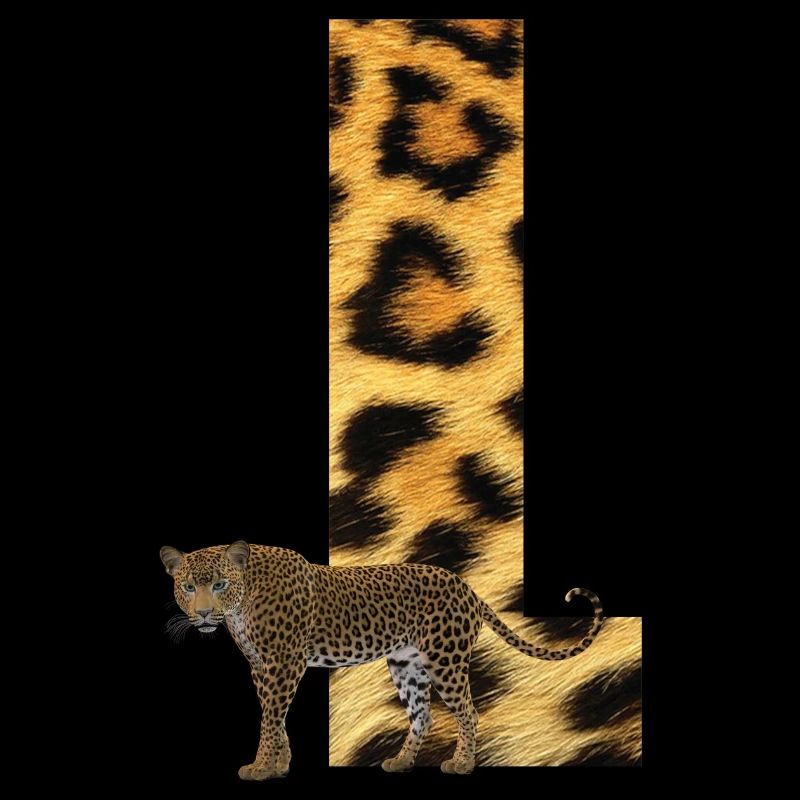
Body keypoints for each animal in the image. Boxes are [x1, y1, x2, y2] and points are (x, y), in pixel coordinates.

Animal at [160, 540, 604, 779]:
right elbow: (275, 717)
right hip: (407, 665)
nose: (203, 614)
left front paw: (262, 767)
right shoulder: (261, 667)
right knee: (423, 715)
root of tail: (468, 588)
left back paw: (460, 764)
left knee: (468, 712)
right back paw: (401, 762)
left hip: (445, 659)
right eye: (187, 587)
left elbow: (270, 719)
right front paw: (280, 764)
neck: (241, 602)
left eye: (220, 584)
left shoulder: (283, 663)